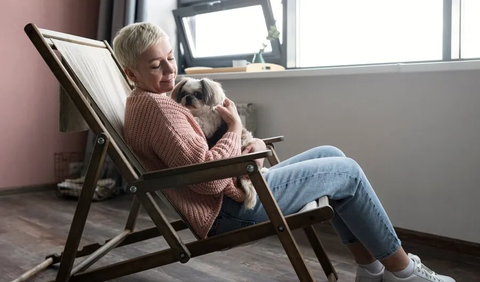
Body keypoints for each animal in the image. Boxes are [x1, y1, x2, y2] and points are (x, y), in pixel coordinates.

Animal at [169, 77, 258, 209]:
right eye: (184, 93)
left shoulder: (208, 126)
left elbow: (198, 120)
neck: (199, 111)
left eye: (198, 94)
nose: (188, 97)